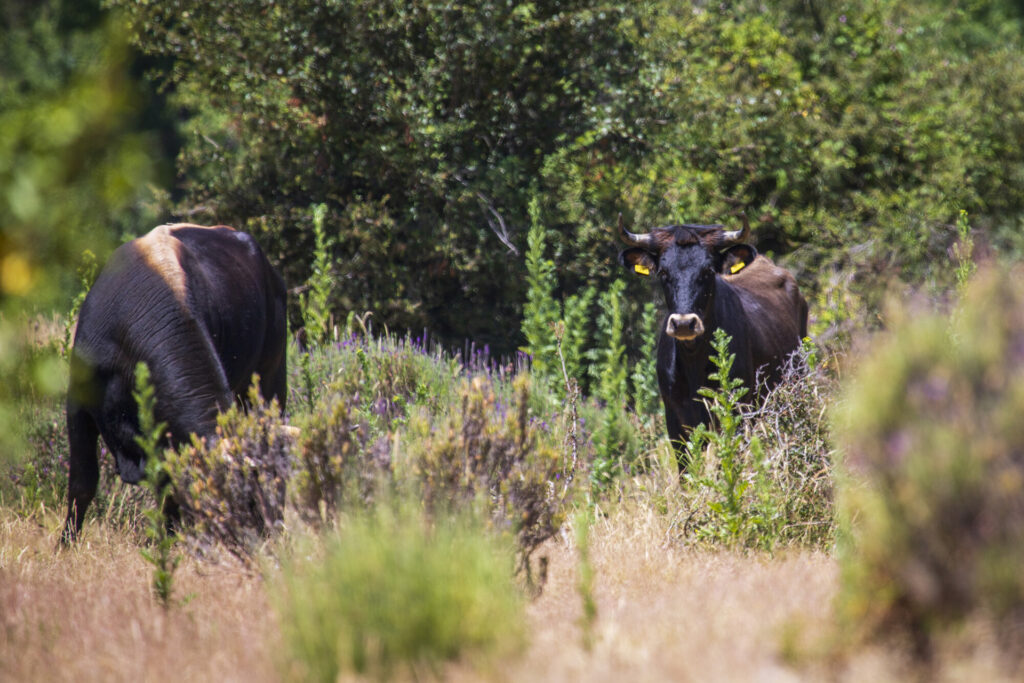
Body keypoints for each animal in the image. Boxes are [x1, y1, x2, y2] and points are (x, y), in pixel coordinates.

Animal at [614, 216, 806, 473]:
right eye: (663, 272)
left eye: (707, 271)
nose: (683, 324)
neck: (694, 362)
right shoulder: (675, 420)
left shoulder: (737, 409)